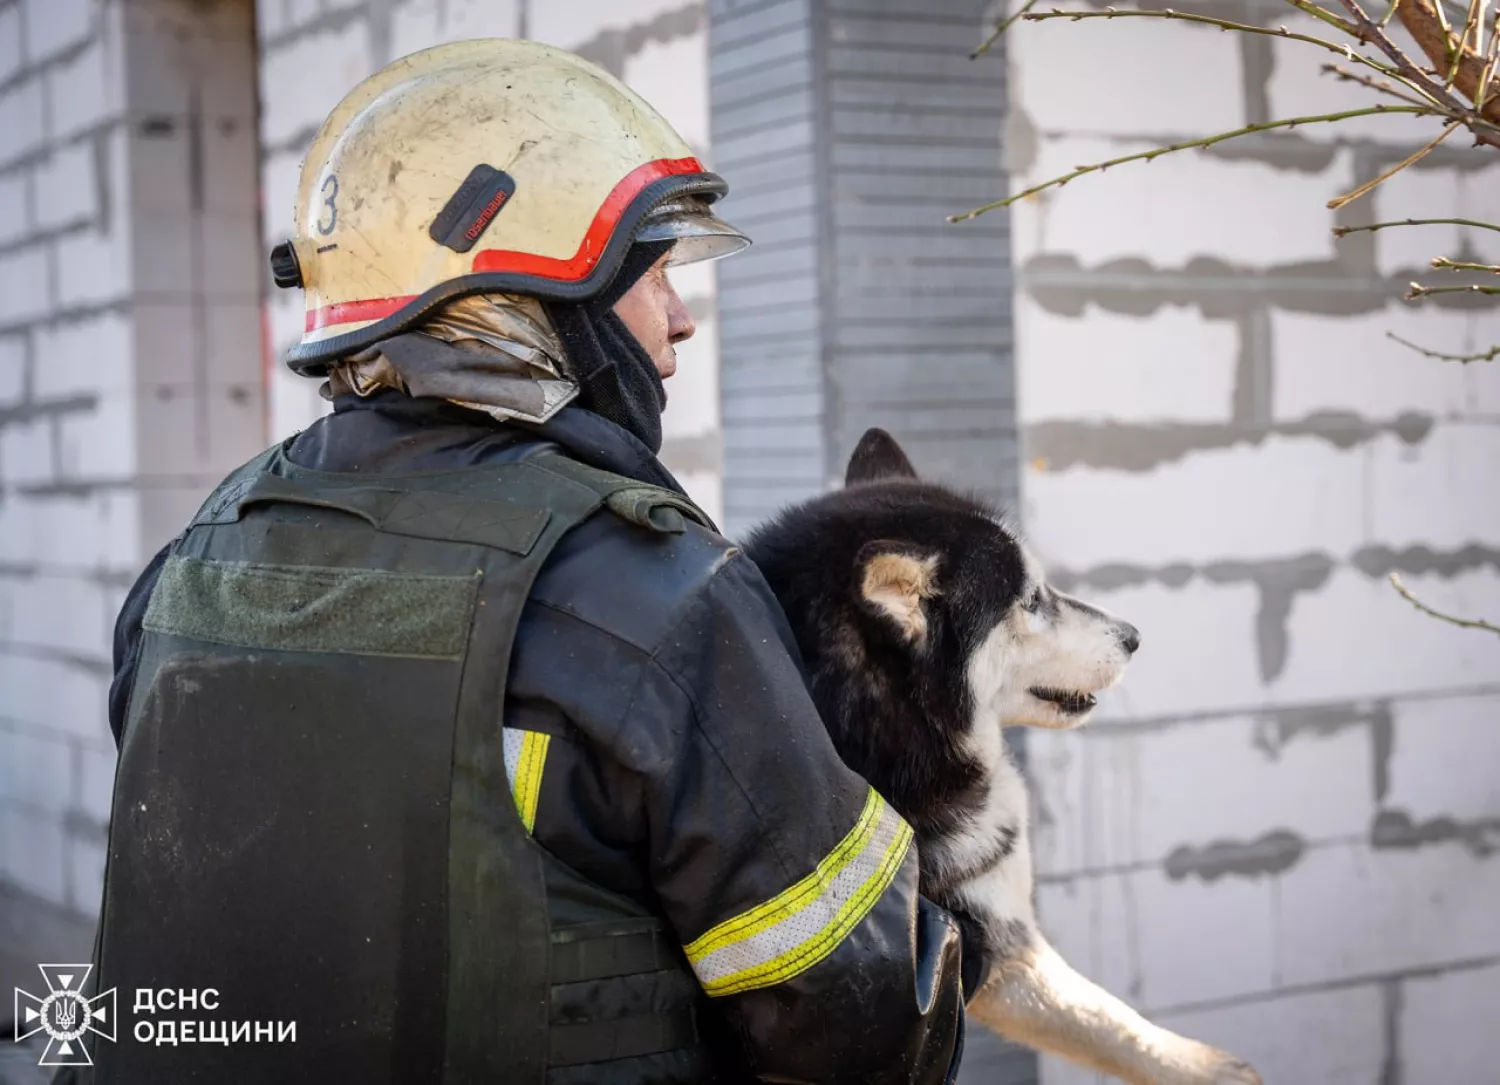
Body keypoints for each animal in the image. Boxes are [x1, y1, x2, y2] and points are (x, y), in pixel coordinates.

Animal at [744, 432, 1260, 1085]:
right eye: (1032, 600)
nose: (1134, 636)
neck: (889, 739)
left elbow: (1092, 1014)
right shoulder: (970, 943)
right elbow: (1099, 1014)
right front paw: (1204, 1067)